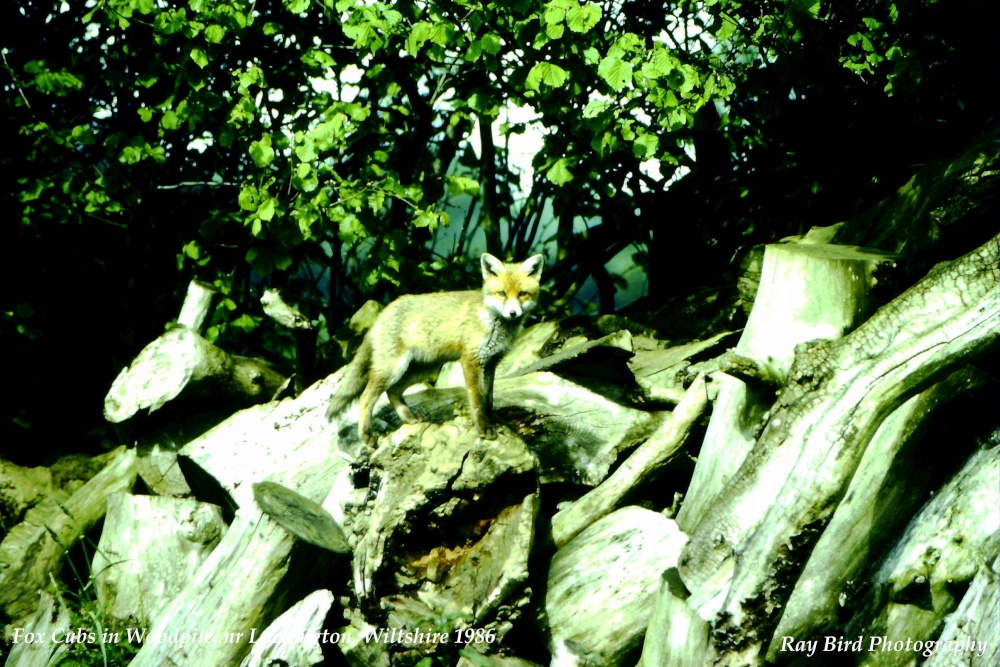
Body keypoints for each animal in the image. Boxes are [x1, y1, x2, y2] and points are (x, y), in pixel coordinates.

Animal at [326, 253, 544, 444]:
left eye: (522, 294)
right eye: (502, 294)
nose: (513, 313)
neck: (493, 322)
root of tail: (383, 312)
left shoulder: (491, 362)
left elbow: (488, 400)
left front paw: (495, 422)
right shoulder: (472, 360)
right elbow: (477, 401)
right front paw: (483, 428)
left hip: (422, 368)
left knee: (393, 391)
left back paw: (408, 417)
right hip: (393, 369)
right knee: (366, 397)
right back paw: (365, 436)